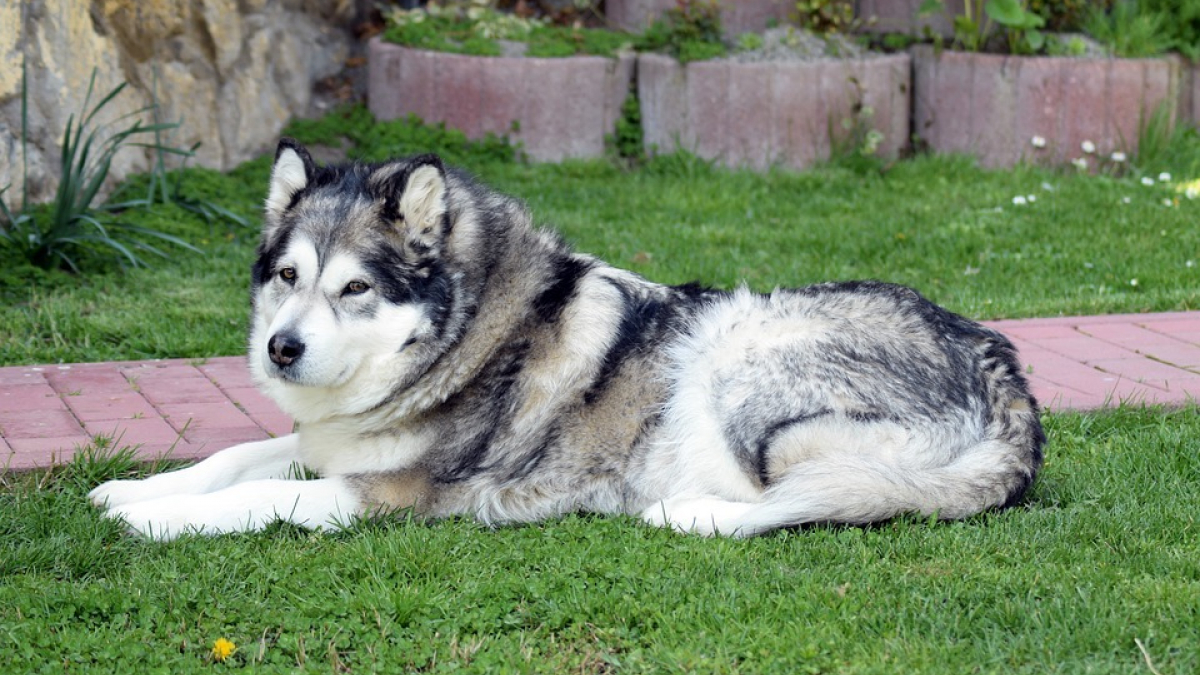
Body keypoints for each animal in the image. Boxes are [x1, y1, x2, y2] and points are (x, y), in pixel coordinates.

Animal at [87, 139, 1041, 538]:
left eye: (355, 288)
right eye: (287, 276)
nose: (280, 349)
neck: (462, 341)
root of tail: (1009, 380)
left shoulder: (393, 493)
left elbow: (257, 495)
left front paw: (157, 519)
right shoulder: (330, 442)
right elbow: (235, 456)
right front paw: (133, 489)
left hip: (739, 361)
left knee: (814, 499)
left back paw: (686, 512)